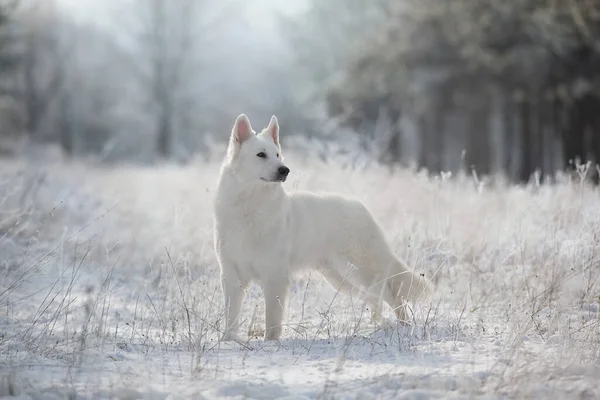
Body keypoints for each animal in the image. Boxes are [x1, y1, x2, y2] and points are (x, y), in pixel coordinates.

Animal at [213, 113, 434, 340]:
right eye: (261, 155)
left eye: (277, 155)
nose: (285, 170)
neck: (249, 206)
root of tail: (362, 209)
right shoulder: (231, 276)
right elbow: (231, 315)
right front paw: (228, 341)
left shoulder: (275, 275)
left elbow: (272, 319)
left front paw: (270, 342)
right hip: (339, 278)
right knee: (373, 298)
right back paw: (379, 325)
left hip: (360, 271)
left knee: (392, 295)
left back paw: (403, 326)